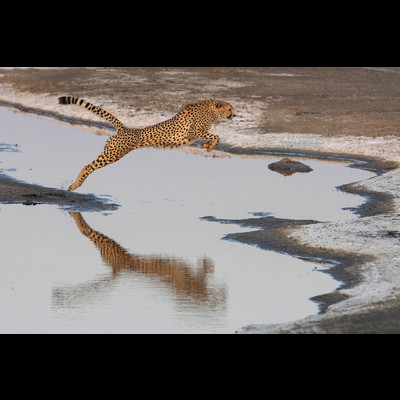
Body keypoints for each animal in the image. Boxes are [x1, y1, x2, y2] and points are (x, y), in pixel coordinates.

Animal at [58, 96, 236, 191]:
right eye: (229, 109)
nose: (234, 115)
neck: (211, 110)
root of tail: (124, 128)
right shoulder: (193, 132)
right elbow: (216, 136)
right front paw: (210, 146)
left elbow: (213, 137)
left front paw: (206, 146)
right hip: (113, 154)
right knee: (88, 166)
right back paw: (75, 185)